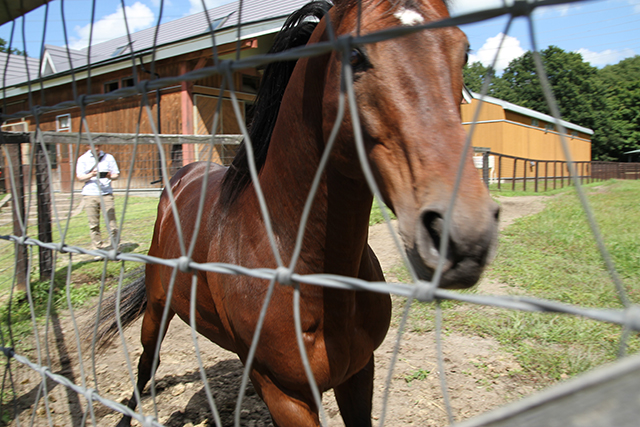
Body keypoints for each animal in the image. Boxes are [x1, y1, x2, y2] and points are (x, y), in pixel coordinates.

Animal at [99, 0, 500, 427]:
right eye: (354, 55)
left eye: (464, 51)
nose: (464, 232)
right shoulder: (285, 396)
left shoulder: (360, 373)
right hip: (159, 309)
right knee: (147, 361)